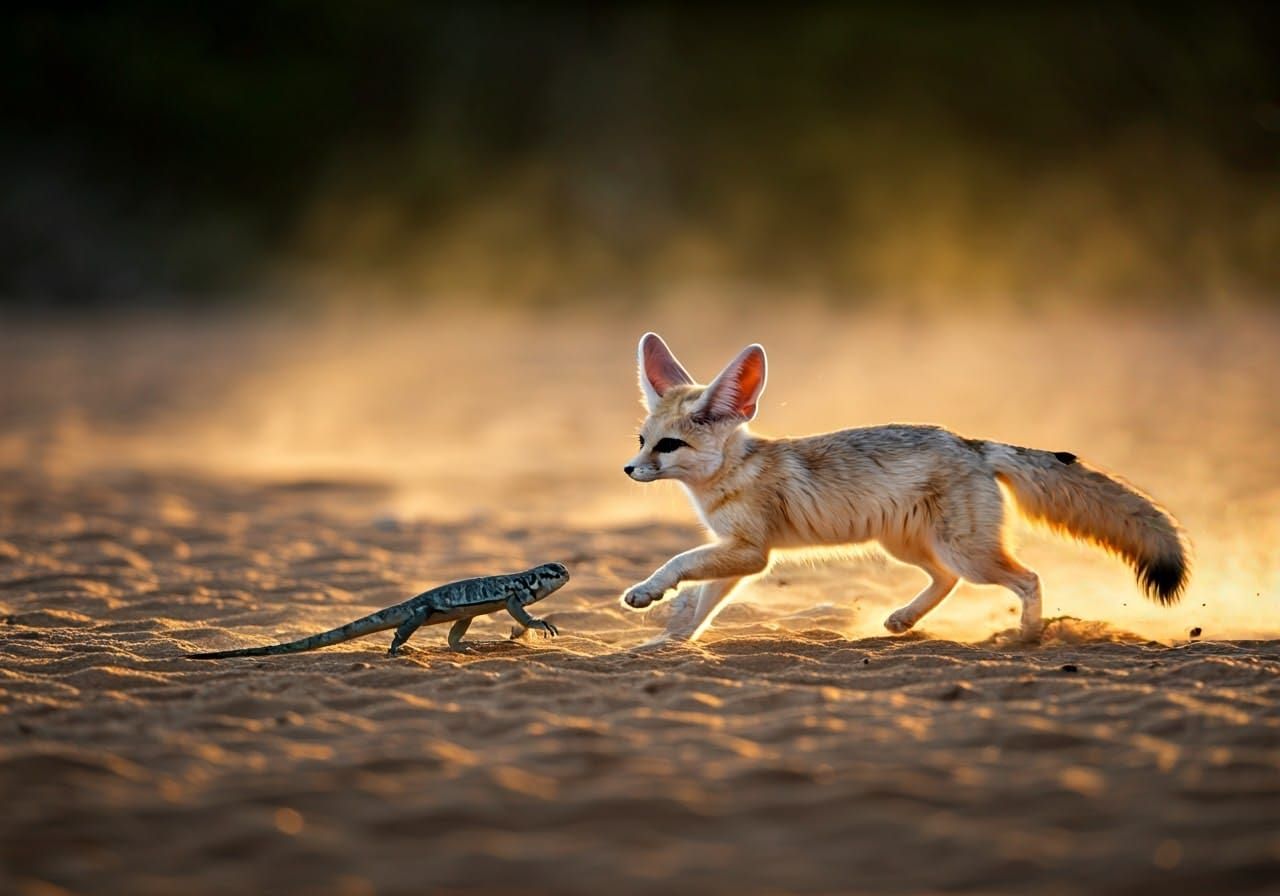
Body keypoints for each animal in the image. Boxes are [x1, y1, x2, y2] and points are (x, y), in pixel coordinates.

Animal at [621, 332, 1190, 642]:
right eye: (643, 439)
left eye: (668, 446)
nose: (629, 470)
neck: (734, 473)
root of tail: (972, 443)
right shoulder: (737, 554)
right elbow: (702, 606)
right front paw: (668, 643)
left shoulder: (751, 553)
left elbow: (680, 563)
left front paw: (647, 591)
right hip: (907, 545)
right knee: (946, 580)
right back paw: (904, 620)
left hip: (966, 553)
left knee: (1027, 578)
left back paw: (1027, 637)